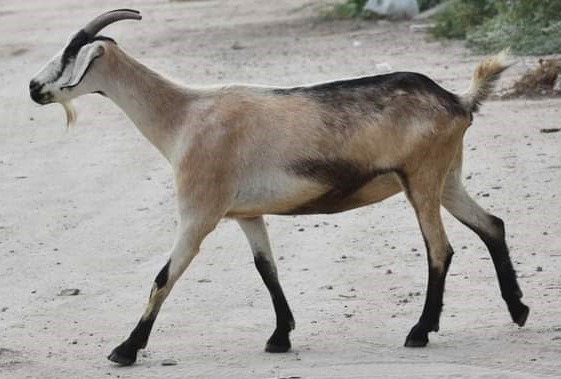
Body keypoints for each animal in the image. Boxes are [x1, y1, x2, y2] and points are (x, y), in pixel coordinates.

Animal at [29, 8, 528, 366]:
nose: (34, 87)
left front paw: (125, 349)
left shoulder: (199, 213)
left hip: (421, 179)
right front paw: (280, 336)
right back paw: (518, 310)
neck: (185, 116)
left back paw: (420, 332)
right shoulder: (246, 214)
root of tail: (458, 100)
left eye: (69, 56)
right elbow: (266, 268)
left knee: (440, 248)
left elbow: (164, 276)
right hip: (447, 178)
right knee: (492, 224)